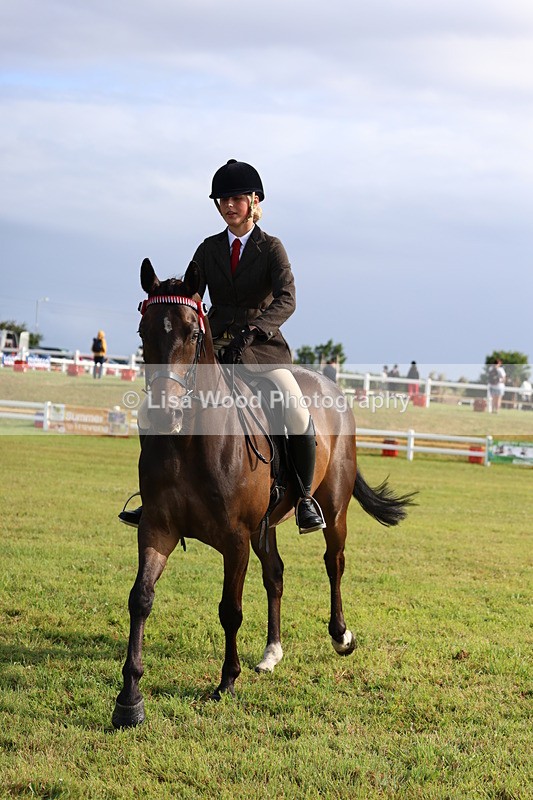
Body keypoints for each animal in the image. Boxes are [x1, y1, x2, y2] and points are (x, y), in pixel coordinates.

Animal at [112, 258, 415, 728]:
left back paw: (340, 635)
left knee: (334, 562)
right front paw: (129, 699)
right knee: (275, 573)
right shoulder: (157, 528)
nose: (163, 414)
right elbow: (140, 599)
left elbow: (229, 610)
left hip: (333, 509)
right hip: (265, 525)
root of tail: (332, 387)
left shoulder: (235, 539)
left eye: (193, 333)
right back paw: (272, 652)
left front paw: (226, 682)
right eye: (144, 332)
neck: (190, 442)